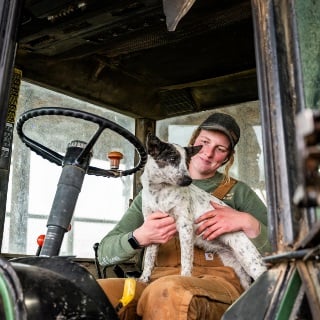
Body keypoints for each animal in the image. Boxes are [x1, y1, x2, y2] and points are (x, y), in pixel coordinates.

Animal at [139, 134, 266, 288]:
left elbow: (186, 259)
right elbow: (149, 258)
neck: (160, 191)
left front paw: (185, 277)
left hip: (251, 261)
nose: (189, 180)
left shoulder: (185, 227)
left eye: (187, 162)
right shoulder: (153, 227)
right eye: (172, 159)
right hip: (236, 265)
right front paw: (144, 278)